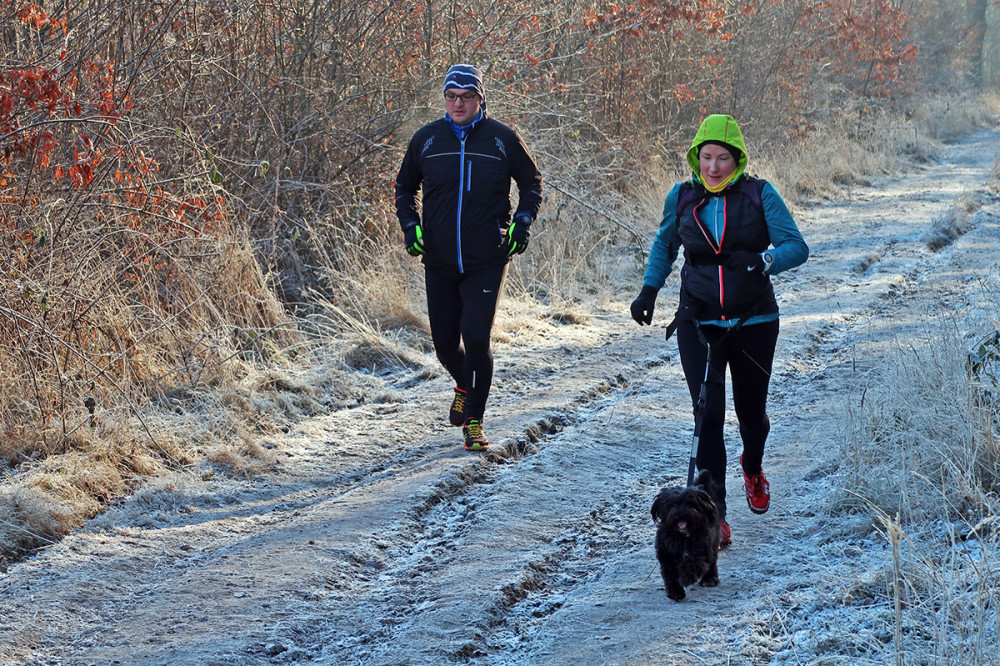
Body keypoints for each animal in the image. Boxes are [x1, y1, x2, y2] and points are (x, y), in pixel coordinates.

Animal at [652, 466, 724, 600]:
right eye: (674, 504)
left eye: (691, 504)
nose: (682, 514)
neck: (683, 536)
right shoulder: (666, 554)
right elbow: (670, 575)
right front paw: (676, 592)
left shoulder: (701, 549)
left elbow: (694, 563)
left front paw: (686, 578)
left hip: (713, 543)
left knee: (712, 561)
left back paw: (710, 579)